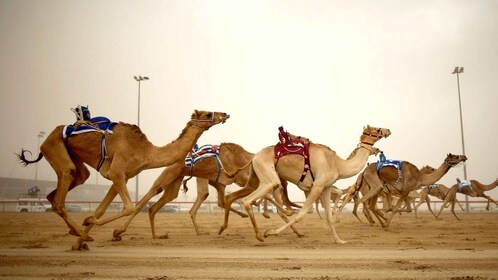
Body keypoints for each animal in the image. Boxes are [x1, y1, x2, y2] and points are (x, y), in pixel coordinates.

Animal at [15, 109, 230, 245]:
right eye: (207, 114)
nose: (225, 114)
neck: (146, 152)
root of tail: (48, 136)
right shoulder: (117, 172)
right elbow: (129, 207)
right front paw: (93, 227)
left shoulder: (122, 177)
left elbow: (101, 210)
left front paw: (83, 235)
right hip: (54, 147)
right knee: (61, 195)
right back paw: (81, 233)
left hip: (74, 162)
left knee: (63, 189)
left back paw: (77, 232)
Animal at [220, 124, 392, 243]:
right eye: (377, 129)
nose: (388, 130)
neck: (337, 164)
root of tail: (254, 156)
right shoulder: (317, 186)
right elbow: (302, 213)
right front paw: (270, 232)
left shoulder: (326, 187)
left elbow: (328, 216)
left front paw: (339, 240)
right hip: (269, 177)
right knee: (247, 200)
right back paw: (260, 235)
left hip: (255, 178)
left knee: (235, 197)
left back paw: (225, 228)